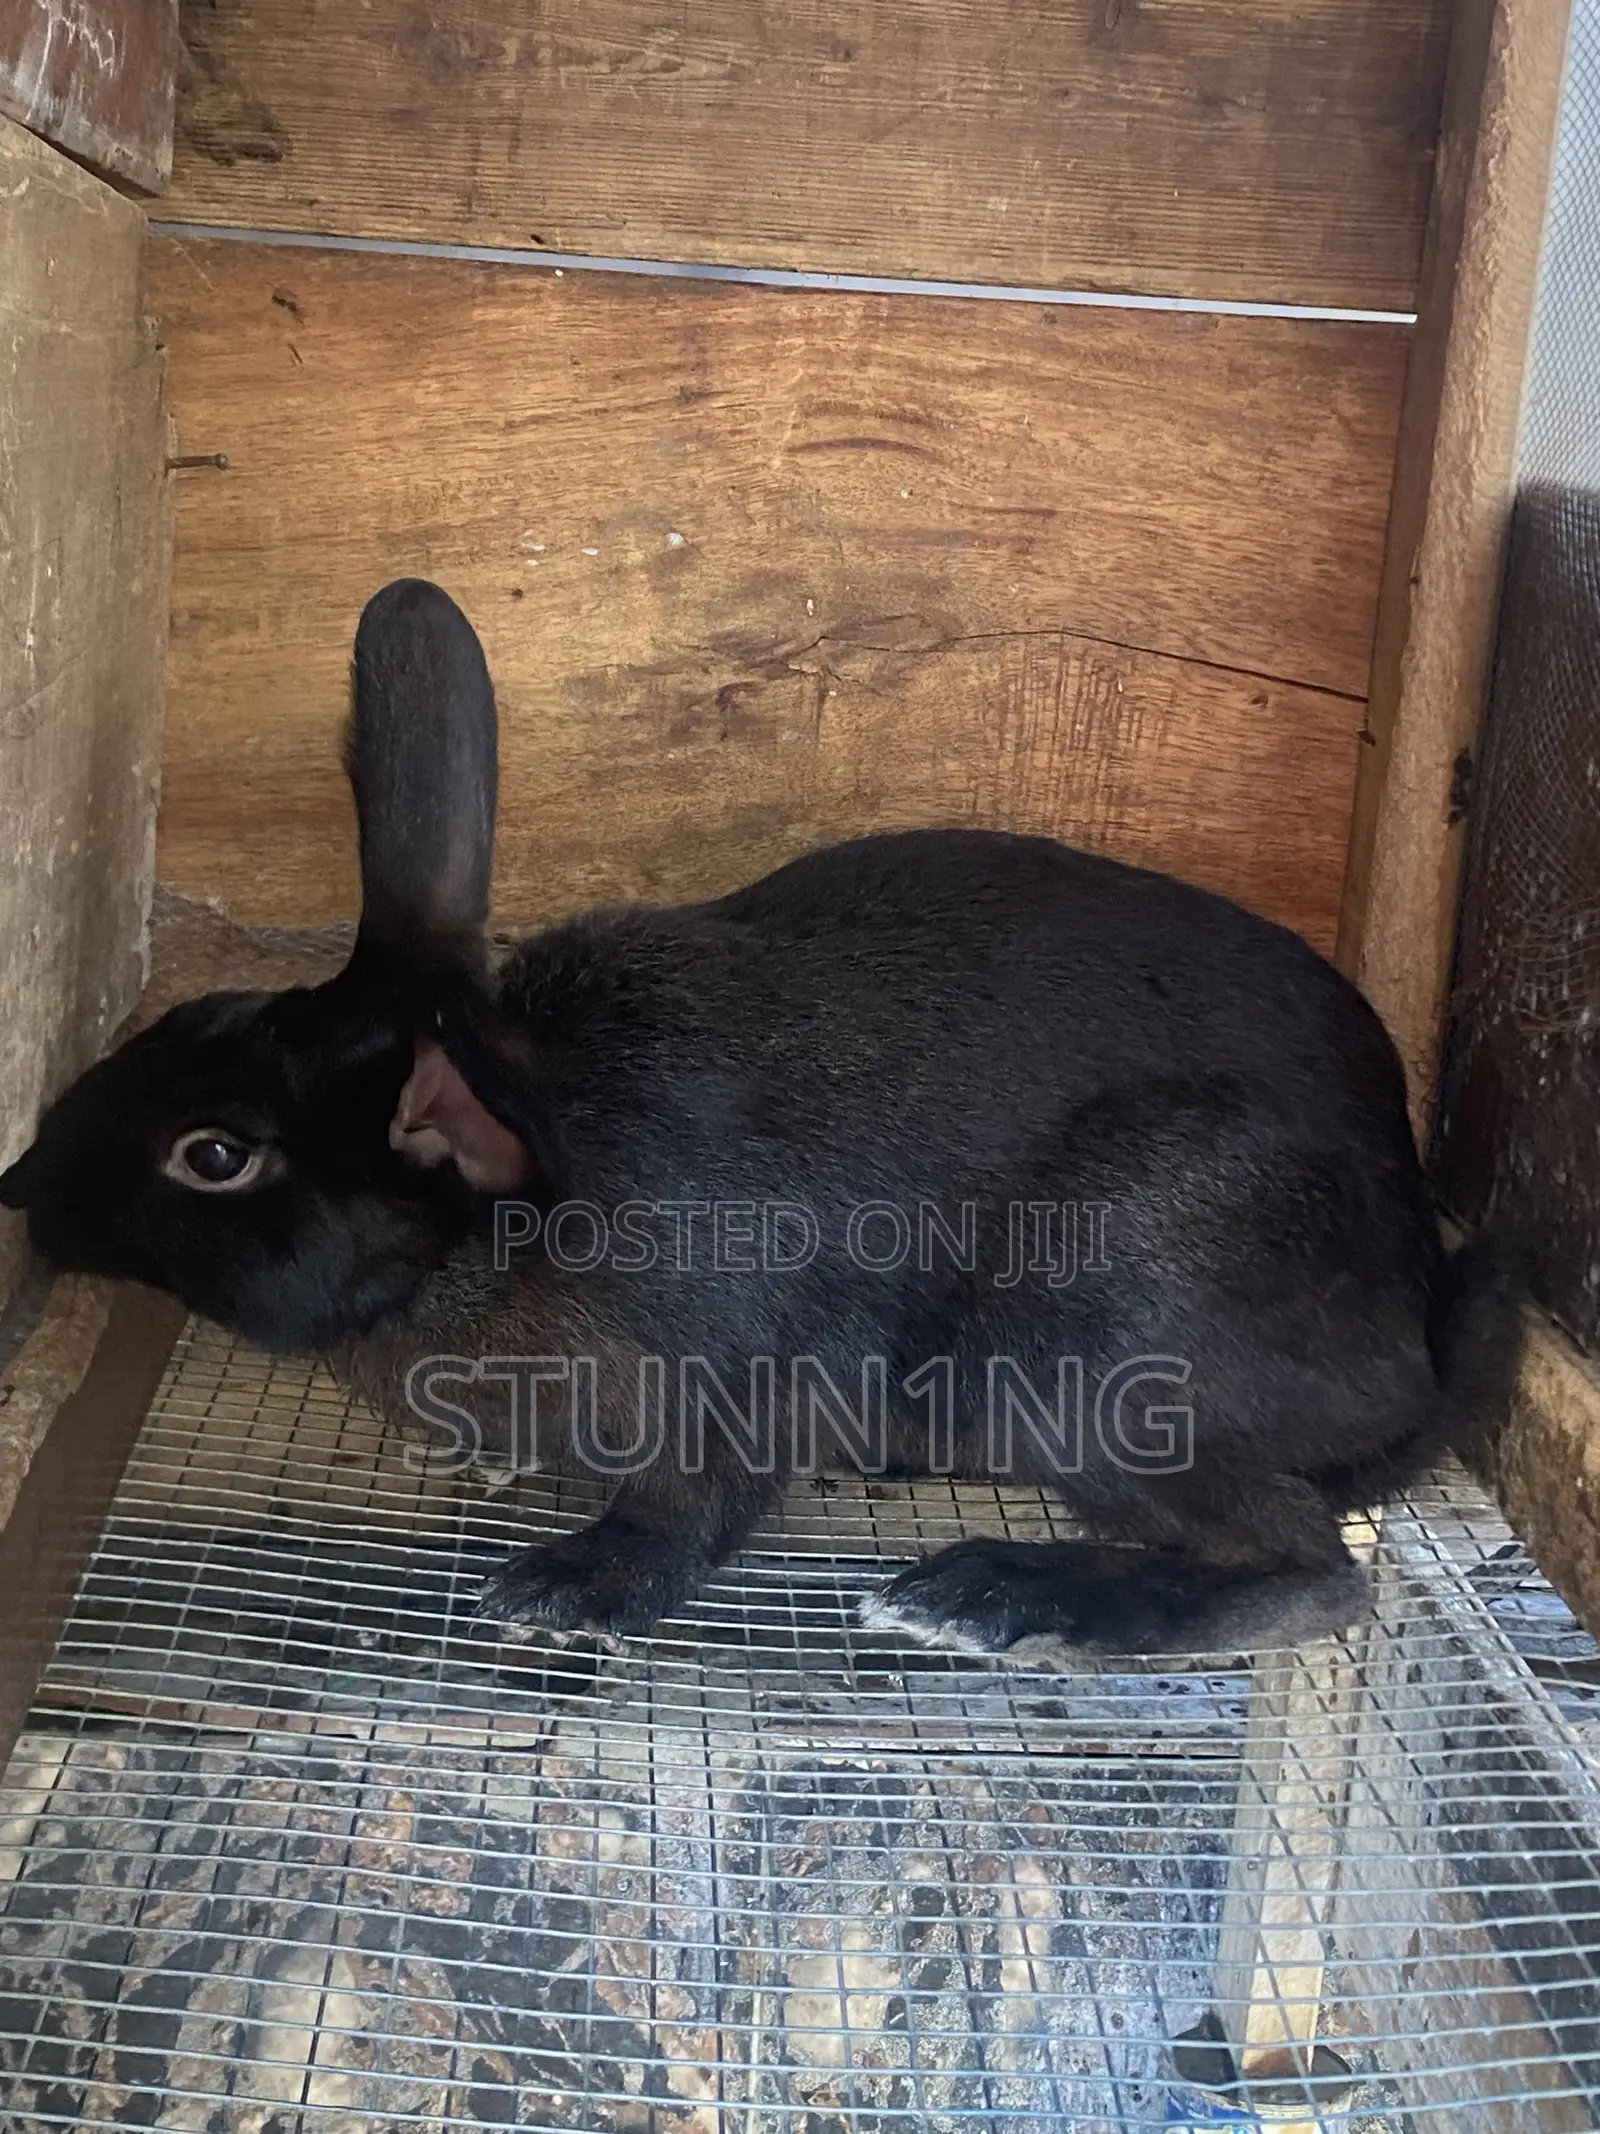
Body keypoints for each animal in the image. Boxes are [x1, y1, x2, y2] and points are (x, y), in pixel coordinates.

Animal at [0, 578, 1525, 1658]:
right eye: (189, 1021)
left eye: (214, 1154)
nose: (21, 1184)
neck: (506, 1228)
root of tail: (1403, 1347)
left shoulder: (736, 1388)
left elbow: (690, 1509)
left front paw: (568, 1585)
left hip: (1097, 1337)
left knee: (1305, 1570)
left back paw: (996, 1598)